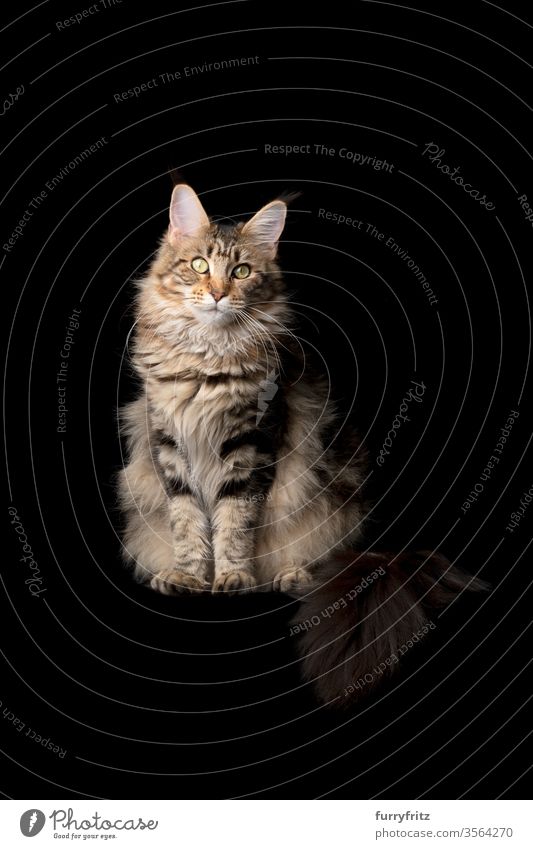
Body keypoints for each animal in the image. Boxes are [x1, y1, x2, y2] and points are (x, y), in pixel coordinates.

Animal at [118, 184, 484, 704]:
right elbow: (189, 524)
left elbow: (233, 523)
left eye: (242, 272)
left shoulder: (251, 444)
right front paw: (189, 577)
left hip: (335, 504)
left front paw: (232, 577)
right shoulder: (168, 443)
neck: (206, 355)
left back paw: (292, 573)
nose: (217, 295)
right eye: (200, 265)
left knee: (322, 554)